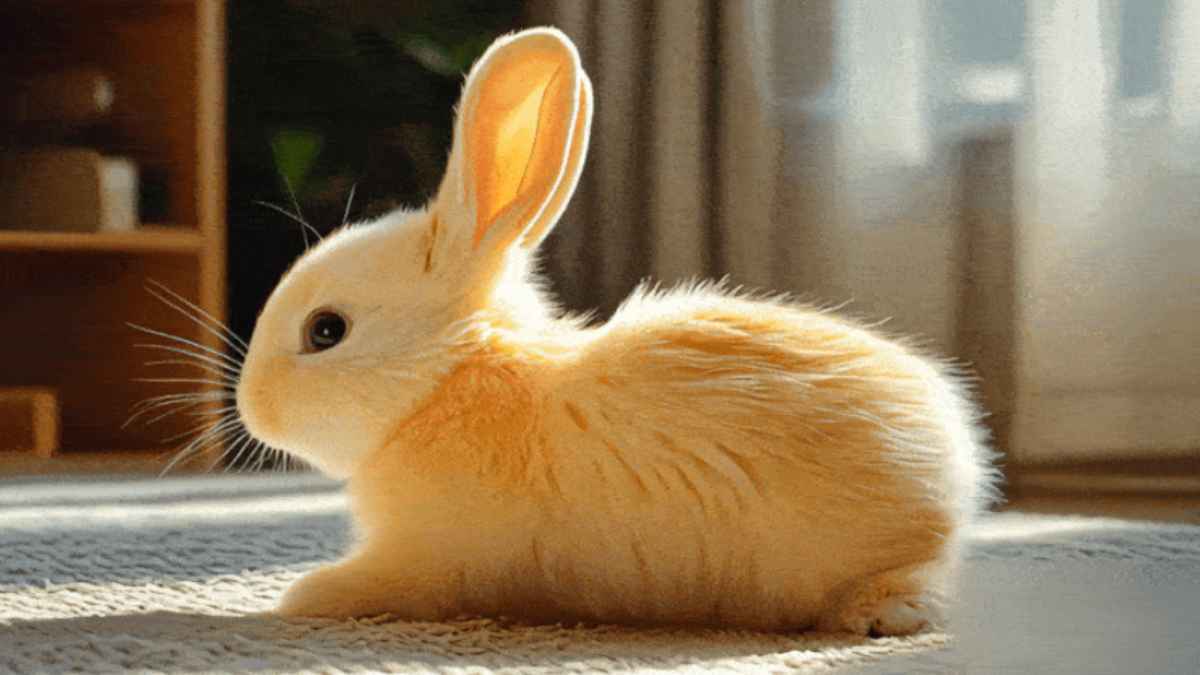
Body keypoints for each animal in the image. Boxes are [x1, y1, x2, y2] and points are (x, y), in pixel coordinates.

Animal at [235, 27, 999, 636]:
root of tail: (959, 465)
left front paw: (302, 594)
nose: (249, 408)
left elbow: (379, 584)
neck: (450, 380)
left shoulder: (425, 560)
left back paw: (879, 616)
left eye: (326, 330)